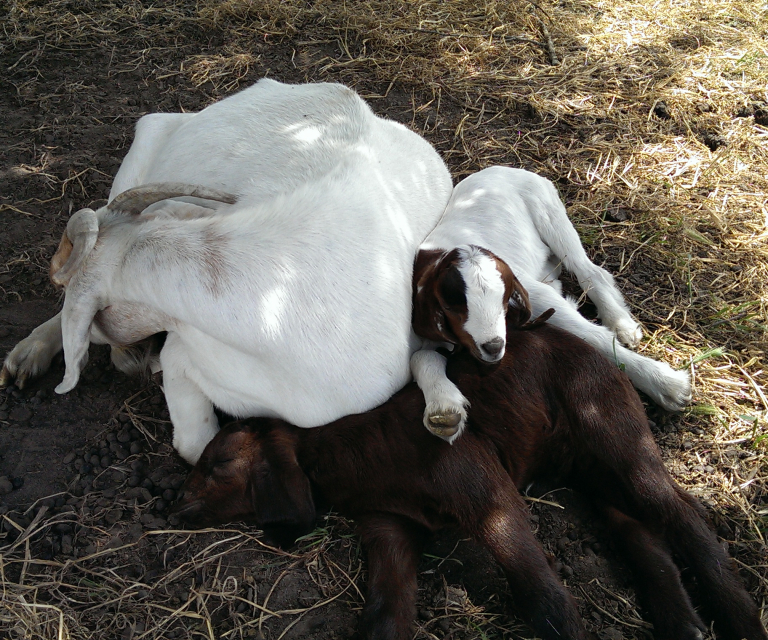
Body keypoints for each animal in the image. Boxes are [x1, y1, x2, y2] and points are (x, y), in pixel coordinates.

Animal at [174, 314, 768, 640]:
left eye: (220, 464)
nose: (175, 507)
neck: (356, 454)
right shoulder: (389, 525)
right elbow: (387, 614)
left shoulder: (484, 491)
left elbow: (542, 595)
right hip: (591, 469)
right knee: (638, 528)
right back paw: (682, 622)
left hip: (612, 431)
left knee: (683, 516)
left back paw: (740, 620)